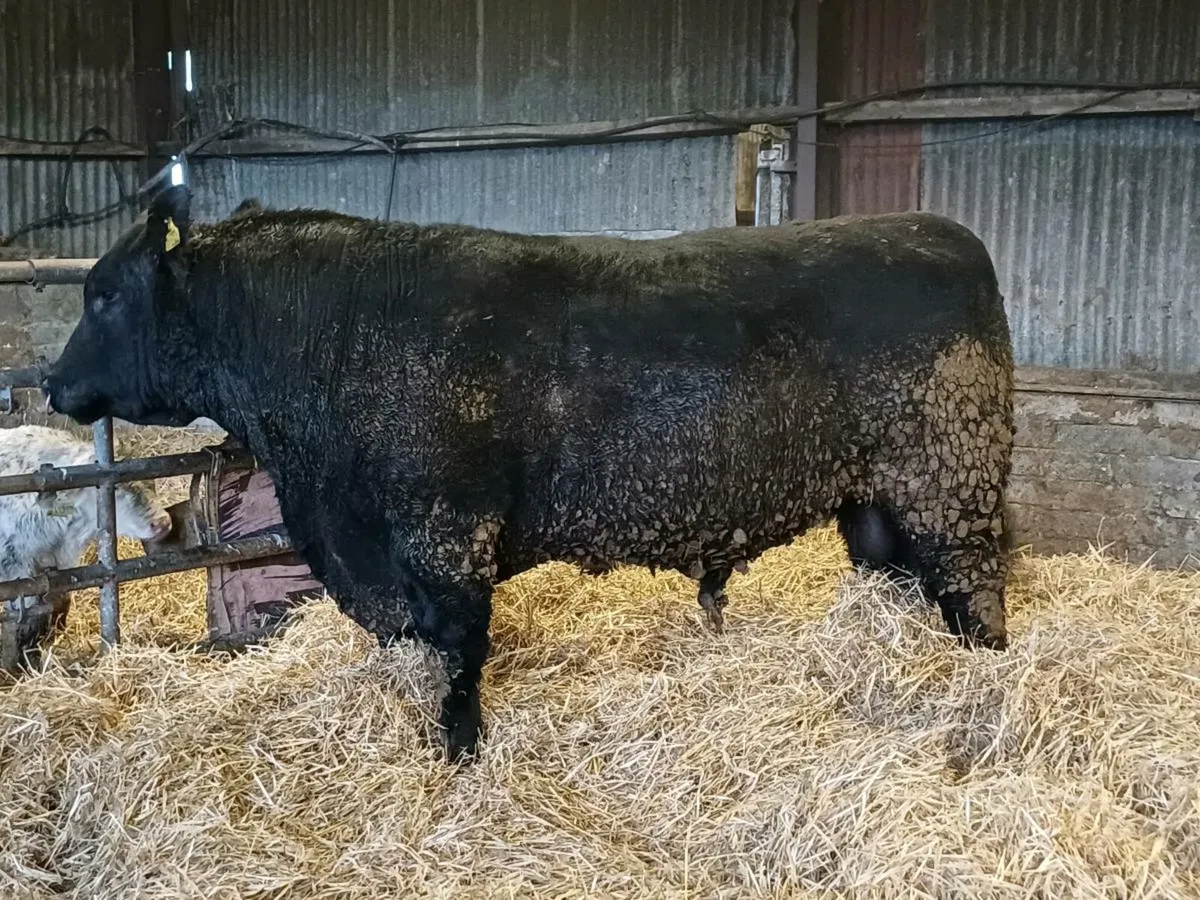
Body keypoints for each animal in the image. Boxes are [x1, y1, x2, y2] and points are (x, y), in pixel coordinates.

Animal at [0, 425, 172, 671]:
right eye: (115, 488)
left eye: (151, 480)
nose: (163, 523)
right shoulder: (16, 566)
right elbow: (26, 619)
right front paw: (19, 664)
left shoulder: (59, 565)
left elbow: (58, 604)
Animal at [44, 186, 1016, 763]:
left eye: (105, 294)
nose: (52, 383)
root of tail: (946, 233)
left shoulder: (444, 534)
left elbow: (460, 651)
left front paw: (460, 753)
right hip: (876, 502)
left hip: (950, 480)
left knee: (977, 595)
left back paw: (986, 689)